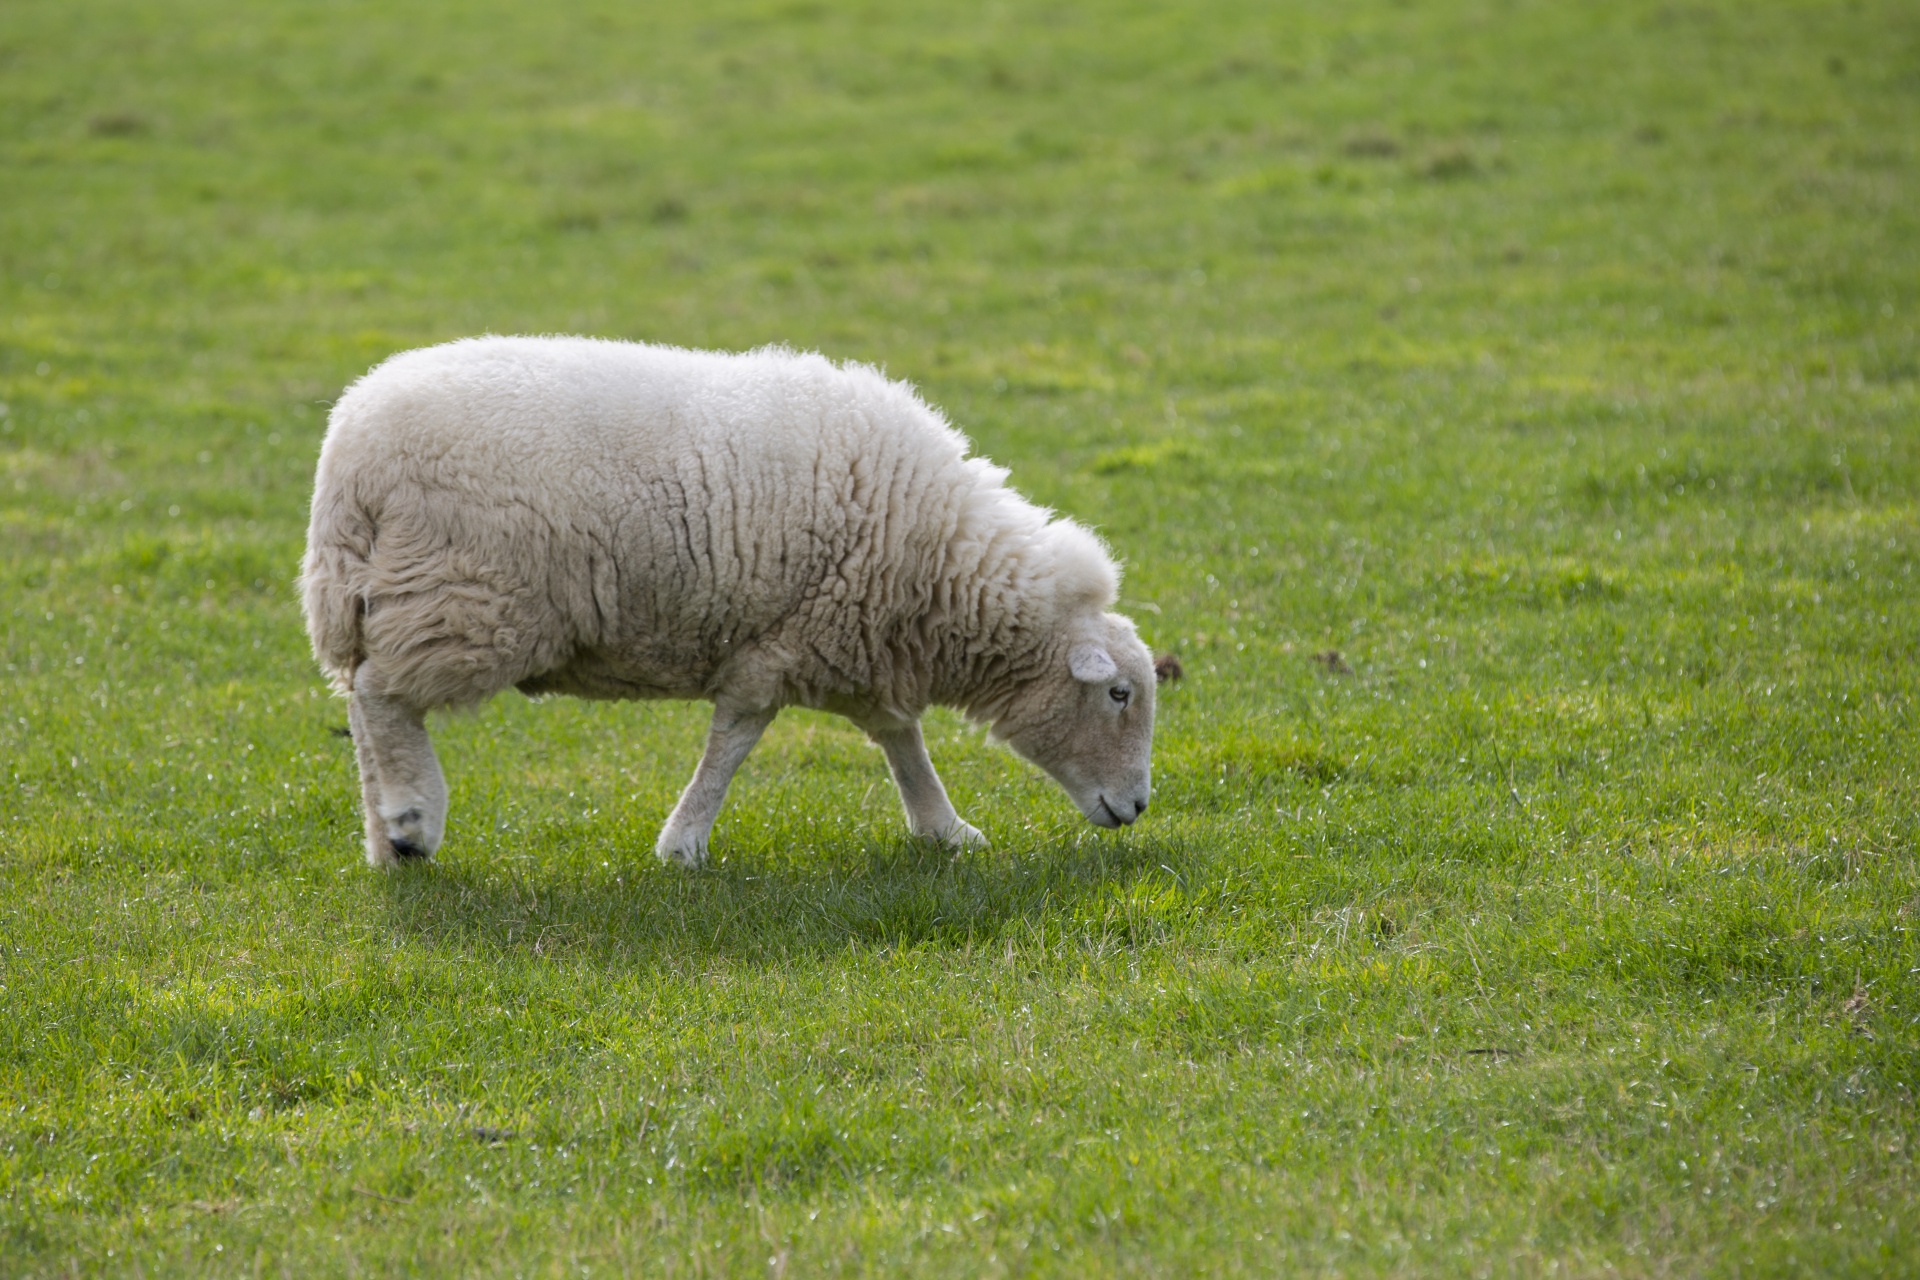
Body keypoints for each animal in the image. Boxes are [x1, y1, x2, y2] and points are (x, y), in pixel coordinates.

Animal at [299, 335, 1152, 867]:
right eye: (1117, 694)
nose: (1140, 808)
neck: (939, 567)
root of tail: (348, 454)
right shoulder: (781, 643)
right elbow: (735, 740)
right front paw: (684, 843)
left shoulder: (853, 643)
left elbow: (899, 737)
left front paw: (945, 830)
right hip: (464, 601)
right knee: (381, 696)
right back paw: (415, 816)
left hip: (398, 599)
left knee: (361, 704)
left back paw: (387, 843)